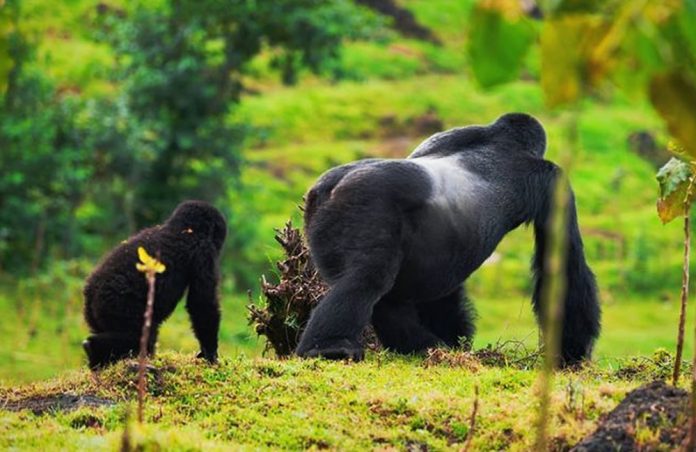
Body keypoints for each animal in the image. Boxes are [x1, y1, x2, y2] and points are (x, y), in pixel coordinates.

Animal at [82, 200, 226, 370]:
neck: (184, 230)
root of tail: (90, 296)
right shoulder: (204, 252)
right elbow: (202, 303)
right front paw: (211, 353)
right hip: (118, 306)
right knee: (139, 335)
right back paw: (94, 348)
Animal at [296, 111, 600, 366]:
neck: (501, 140)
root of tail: (328, 188)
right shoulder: (552, 180)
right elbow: (565, 266)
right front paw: (571, 354)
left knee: (385, 296)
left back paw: (419, 346)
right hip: (365, 204)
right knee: (367, 279)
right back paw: (331, 347)